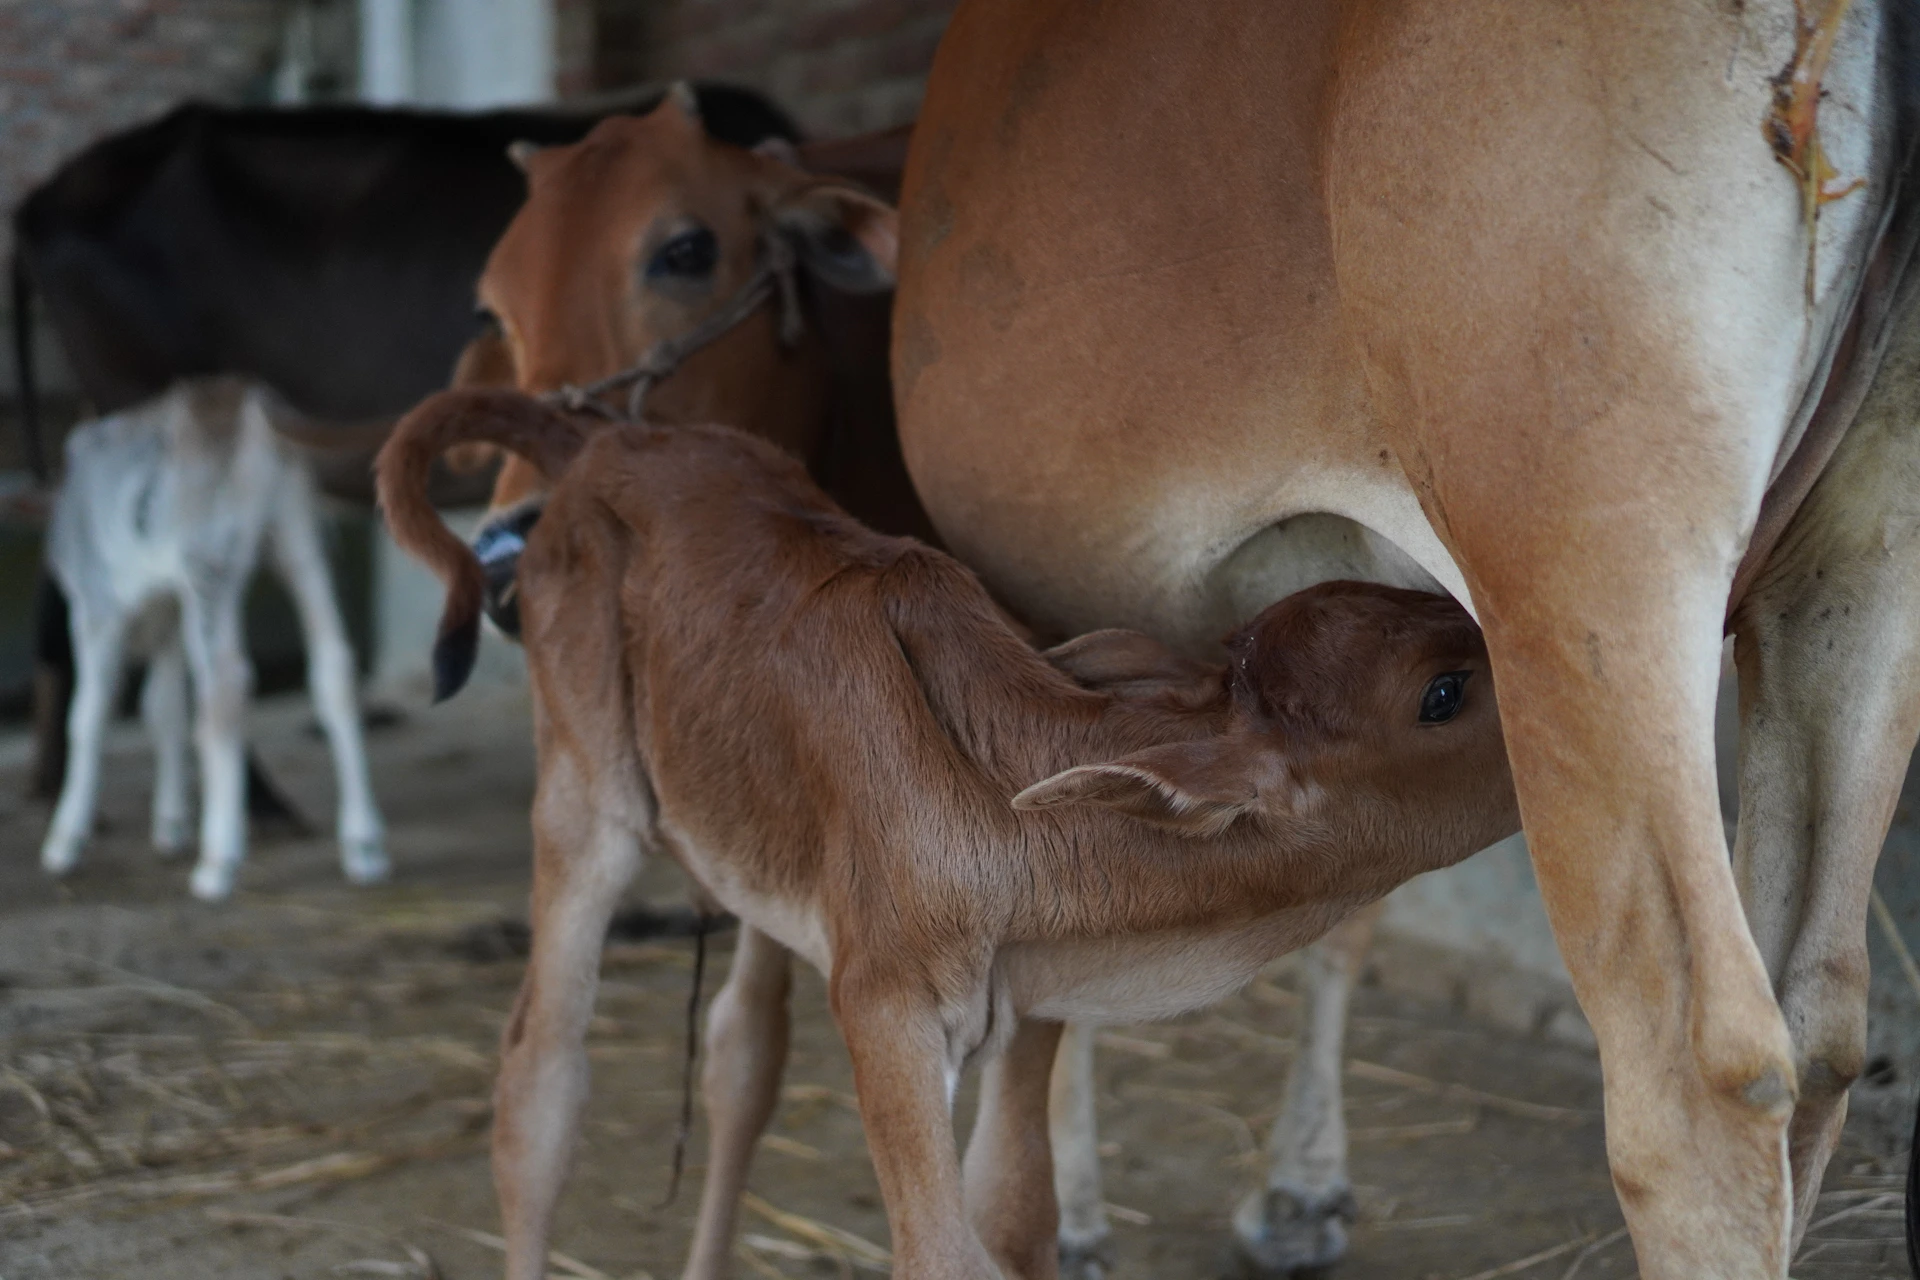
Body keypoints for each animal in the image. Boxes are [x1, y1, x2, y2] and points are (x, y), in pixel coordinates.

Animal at [40, 377, 384, 901]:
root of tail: (239, 396)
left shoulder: (97, 608)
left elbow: (88, 716)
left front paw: (65, 840)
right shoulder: (167, 613)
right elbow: (162, 708)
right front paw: (170, 824)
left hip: (209, 559)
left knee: (225, 686)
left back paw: (219, 861)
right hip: (296, 536)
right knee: (334, 664)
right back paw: (363, 844)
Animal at [373, 385, 1522, 1280]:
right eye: (1443, 691)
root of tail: (599, 438)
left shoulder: (1033, 1007)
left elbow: (1016, 1218)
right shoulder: (884, 1012)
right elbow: (939, 1250)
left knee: (736, 1057)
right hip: (584, 800)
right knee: (538, 1087)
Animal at [891, 1, 1920, 1275]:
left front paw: (1076, 1206)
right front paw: (1299, 1183)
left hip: (1590, 577)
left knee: (1696, 1070)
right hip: (1856, 566)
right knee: (1817, 1017)